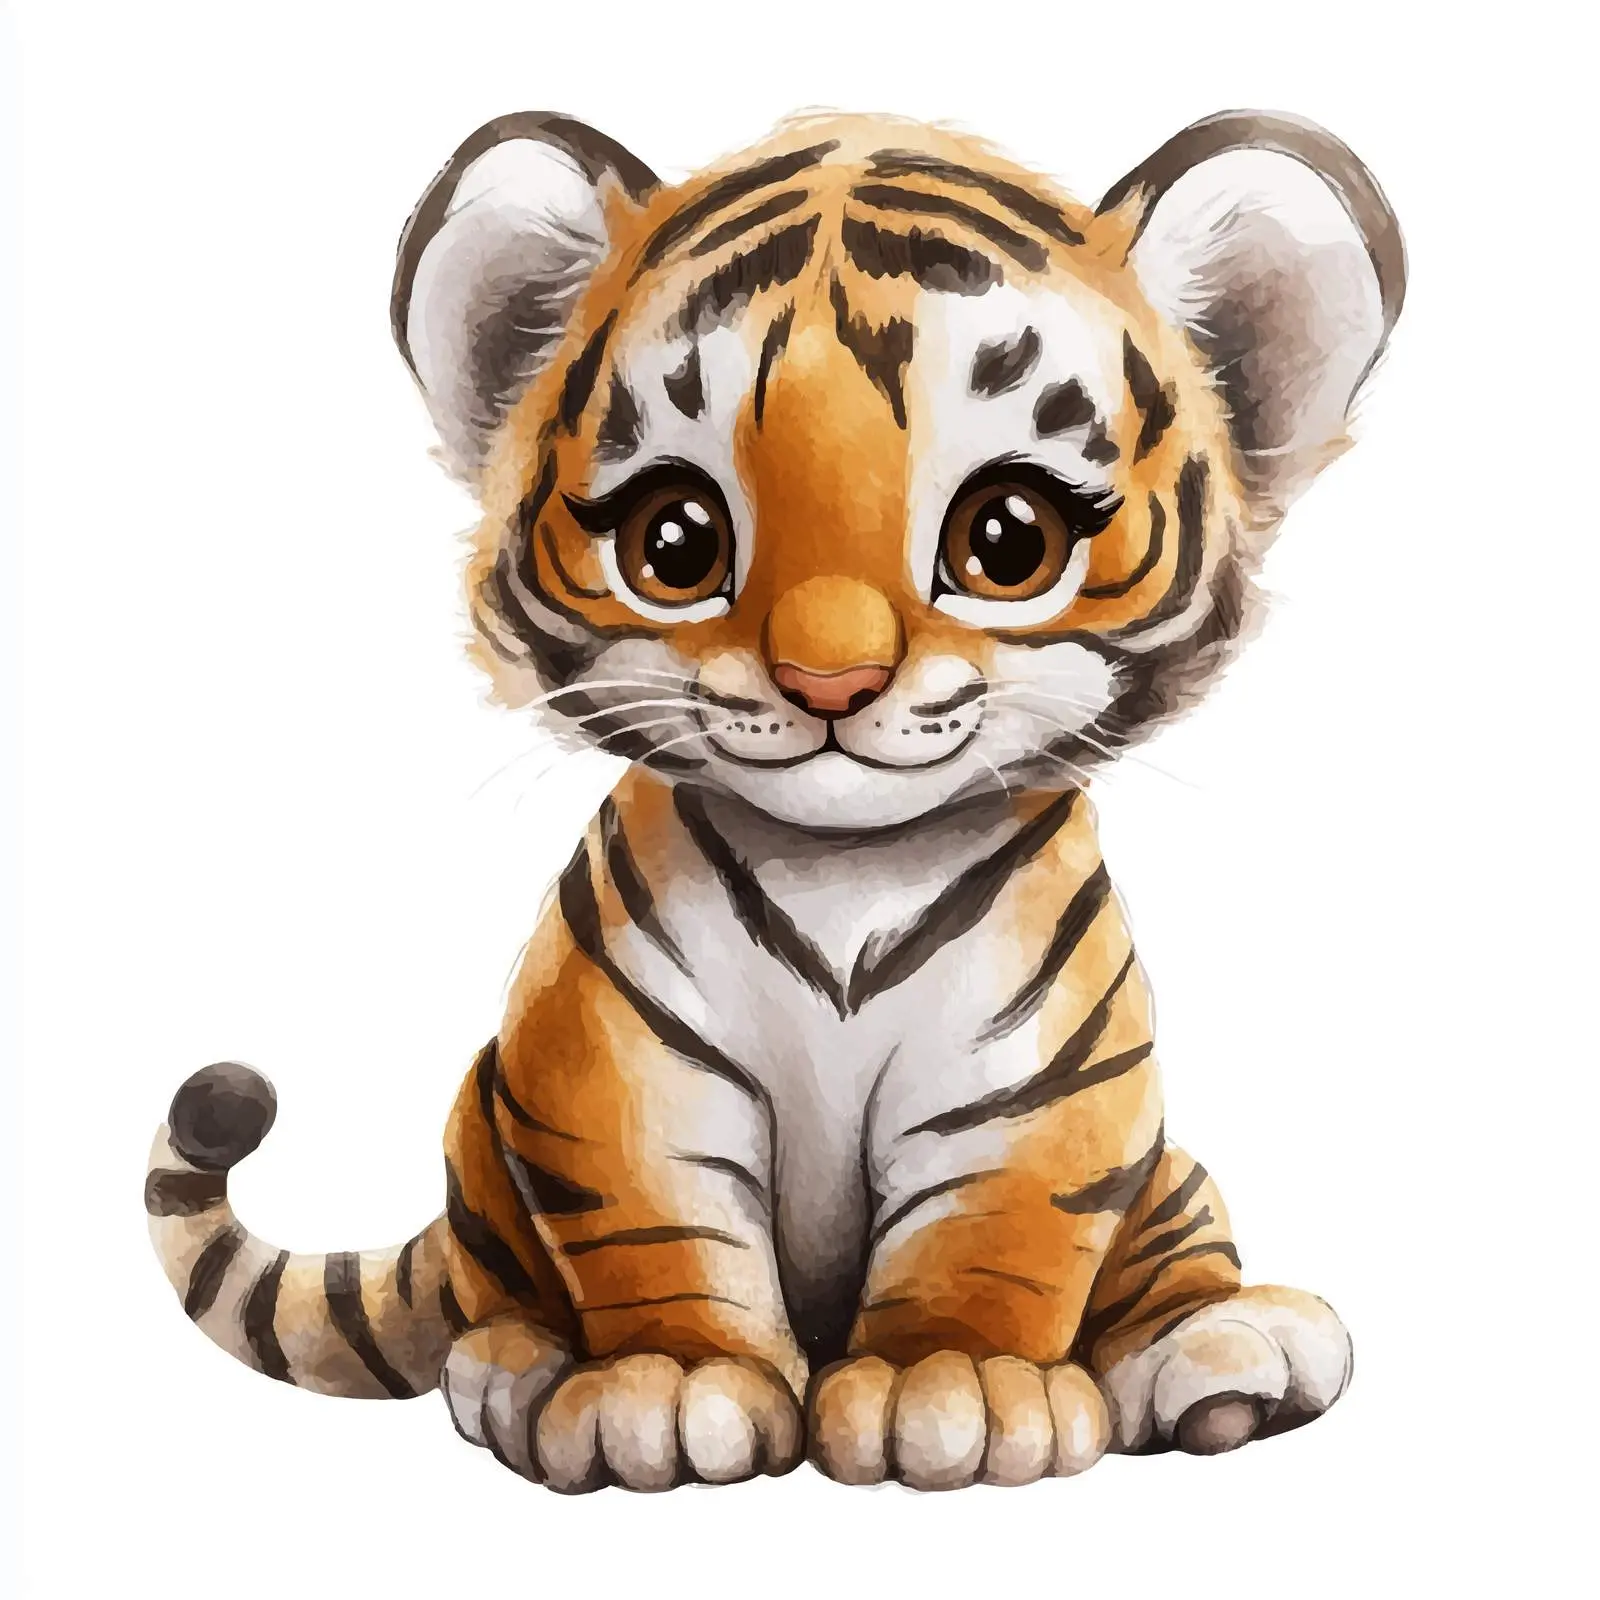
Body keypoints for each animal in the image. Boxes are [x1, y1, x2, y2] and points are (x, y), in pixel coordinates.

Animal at [146, 106, 1405, 1492]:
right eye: (675, 540)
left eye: (1007, 537)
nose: (829, 681)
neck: (843, 868)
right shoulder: (614, 1079)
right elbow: (658, 1234)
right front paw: (673, 1383)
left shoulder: (1036, 1094)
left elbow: (997, 1237)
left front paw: (950, 1379)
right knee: (491, 1295)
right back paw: (513, 1367)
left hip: (1167, 1177)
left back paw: (1226, 1351)